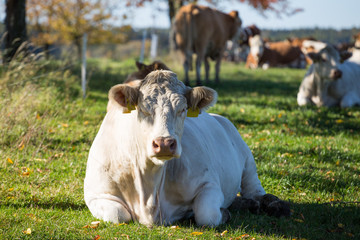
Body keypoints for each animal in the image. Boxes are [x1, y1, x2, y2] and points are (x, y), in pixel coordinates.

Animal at [84, 70, 290, 227]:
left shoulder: (209, 184)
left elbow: (207, 215)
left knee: (255, 191)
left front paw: (222, 213)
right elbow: (118, 215)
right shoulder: (95, 194)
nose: (164, 143)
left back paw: (267, 204)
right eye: (143, 109)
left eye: (182, 109)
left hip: (248, 161)